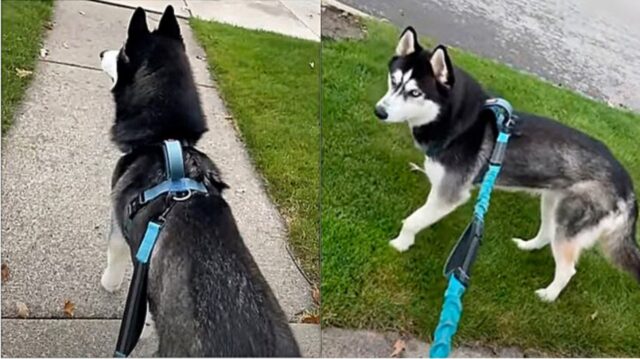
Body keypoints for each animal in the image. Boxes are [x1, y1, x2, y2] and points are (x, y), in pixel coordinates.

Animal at [99, 5, 302, 358]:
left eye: (121, 51)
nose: (100, 53)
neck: (168, 142)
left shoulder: (120, 227)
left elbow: (115, 256)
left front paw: (108, 283)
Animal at [376, 26, 640, 304]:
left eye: (415, 93)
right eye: (393, 81)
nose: (379, 111)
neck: (458, 123)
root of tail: (627, 184)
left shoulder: (449, 195)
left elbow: (412, 220)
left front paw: (400, 243)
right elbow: (421, 215)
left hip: (569, 221)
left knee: (567, 268)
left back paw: (548, 295)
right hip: (553, 203)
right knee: (548, 233)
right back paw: (528, 245)